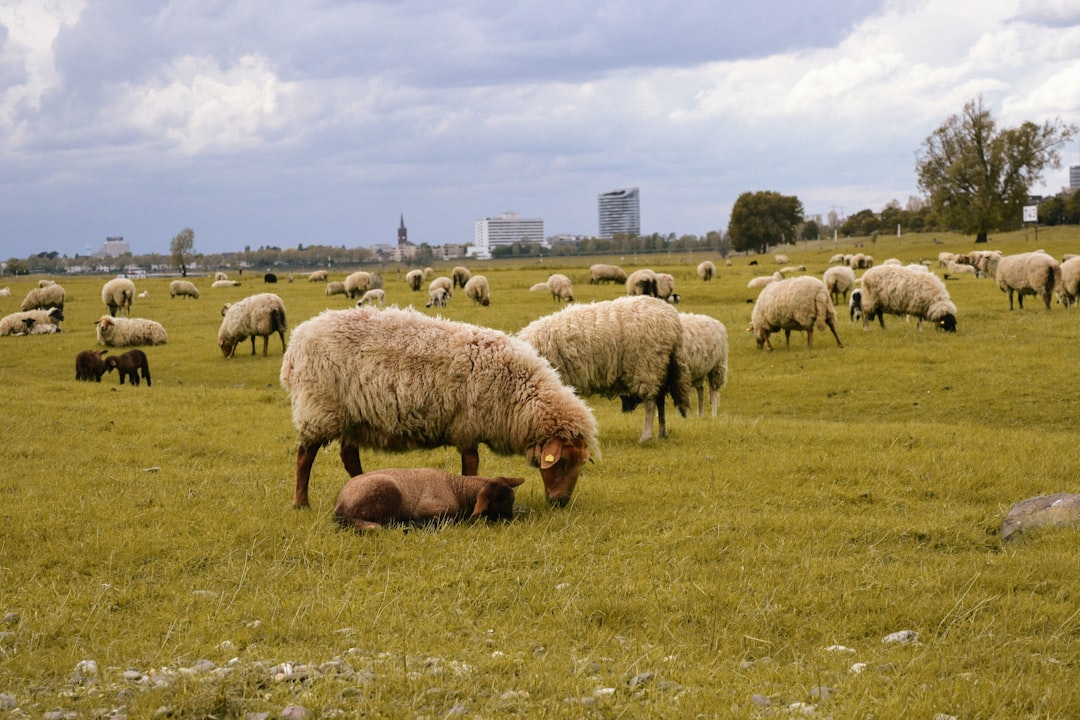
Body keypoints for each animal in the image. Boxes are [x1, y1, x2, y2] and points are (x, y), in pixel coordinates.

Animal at [280, 306, 600, 508]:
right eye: (562, 462)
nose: (560, 503)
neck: (515, 389)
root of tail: (297, 340)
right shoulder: (467, 425)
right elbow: (471, 465)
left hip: (354, 416)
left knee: (348, 456)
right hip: (319, 409)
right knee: (304, 457)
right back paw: (300, 502)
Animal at [519, 295, 692, 442]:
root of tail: (673, 321)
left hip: (647, 366)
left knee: (650, 403)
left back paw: (646, 436)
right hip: (661, 367)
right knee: (660, 399)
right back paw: (662, 433)